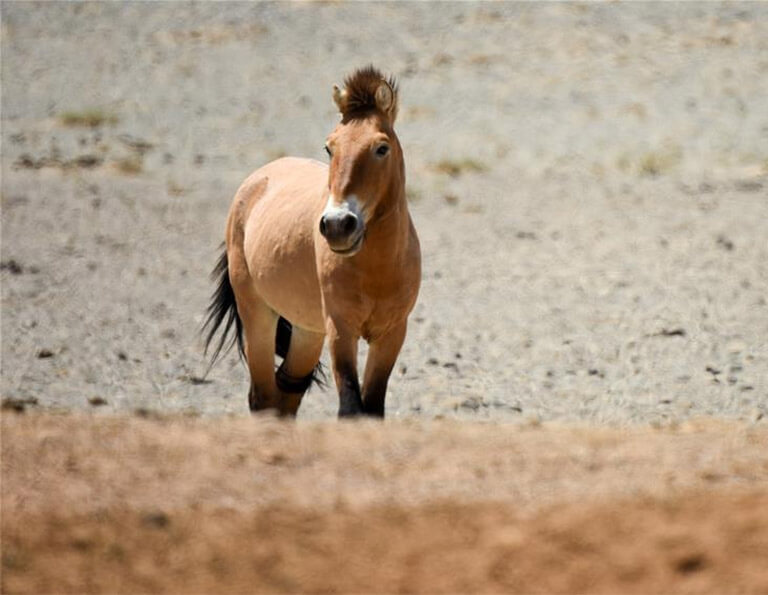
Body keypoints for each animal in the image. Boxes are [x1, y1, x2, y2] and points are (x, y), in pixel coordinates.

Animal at [202, 65, 420, 420]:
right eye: (329, 148)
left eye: (381, 148)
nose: (337, 225)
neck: (377, 268)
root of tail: (257, 179)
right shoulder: (341, 330)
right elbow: (350, 408)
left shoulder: (391, 333)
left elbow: (372, 409)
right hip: (258, 314)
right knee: (263, 396)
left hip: (307, 332)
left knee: (286, 391)